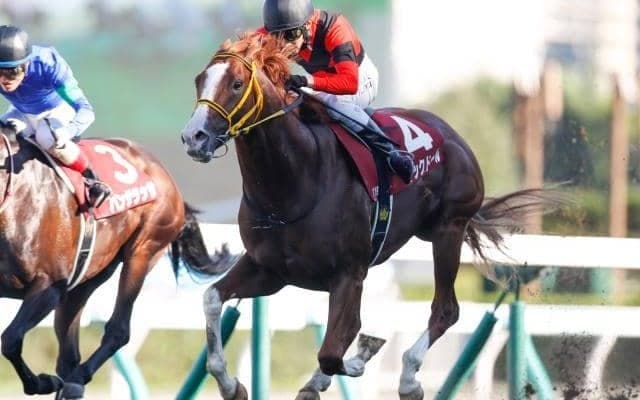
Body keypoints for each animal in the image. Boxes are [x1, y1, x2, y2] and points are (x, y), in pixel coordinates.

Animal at [0, 124, 234, 399]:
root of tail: (160, 169)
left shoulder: (49, 287)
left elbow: (10, 340)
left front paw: (42, 383)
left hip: (143, 251)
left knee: (118, 330)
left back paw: (76, 378)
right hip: (85, 280)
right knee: (68, 355)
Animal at [180, 32, 556, 400]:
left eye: (236, 84)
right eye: (199, 80)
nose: (193, 137)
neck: (295, 182)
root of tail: (453, 135)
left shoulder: (348, 274)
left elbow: (335, 349)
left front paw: (362, 356)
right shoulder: (270, 269)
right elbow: (212, 299)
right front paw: (232, 386)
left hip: (449, 230)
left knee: (446, 310)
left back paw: (408, 380)